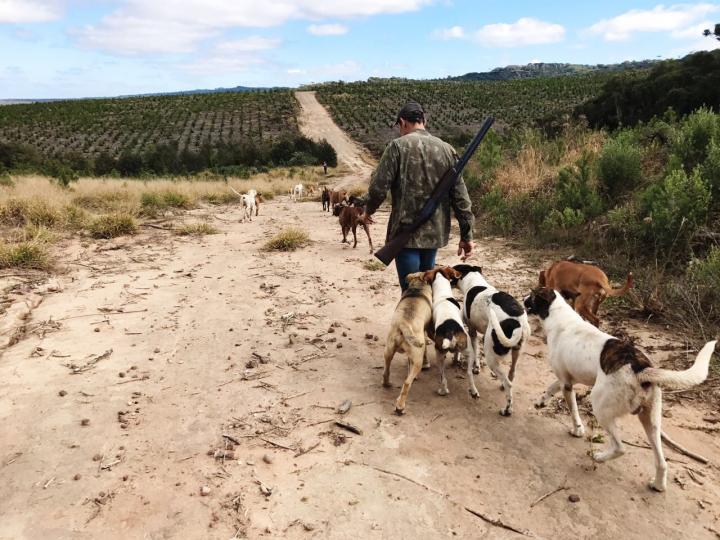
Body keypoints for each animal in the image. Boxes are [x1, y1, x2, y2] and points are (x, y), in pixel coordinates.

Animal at [382, 272, 434, 416]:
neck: (417, 288)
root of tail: (404, 324)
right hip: (417, 361)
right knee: (406, 383)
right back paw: (400, 406)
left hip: (388, 350)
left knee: (386, 370)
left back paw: (386, 383)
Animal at [416, 266, 472, 396]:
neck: (443, 293)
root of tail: (449, 332)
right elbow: (457, 353)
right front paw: (456, 358)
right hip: (467, 351)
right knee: (469, 374)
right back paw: (473, 391)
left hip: (440, 354)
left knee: (443, 377)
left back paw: (443, 390)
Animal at [452, 264, 532, 416]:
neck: (474, 282)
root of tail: (517, 322)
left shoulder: (472, 331)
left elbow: (475, 351)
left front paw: (476, 367)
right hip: (516, 351)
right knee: (511, 373)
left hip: (491, 356)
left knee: (508, 383)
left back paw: (507, 409)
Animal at [524, 286, 716, 494]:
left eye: (532, 295)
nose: (522, 298)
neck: (560, 316)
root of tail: (640, 369)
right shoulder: (566, 379)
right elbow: (551, 387)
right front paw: (541, 401)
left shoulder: (567, 383)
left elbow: (573, 410)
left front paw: (577, 429)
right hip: (651, 421)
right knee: (662, 462)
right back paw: (658, 485)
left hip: (601, 408)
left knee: (620, 447)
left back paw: (600, 457)